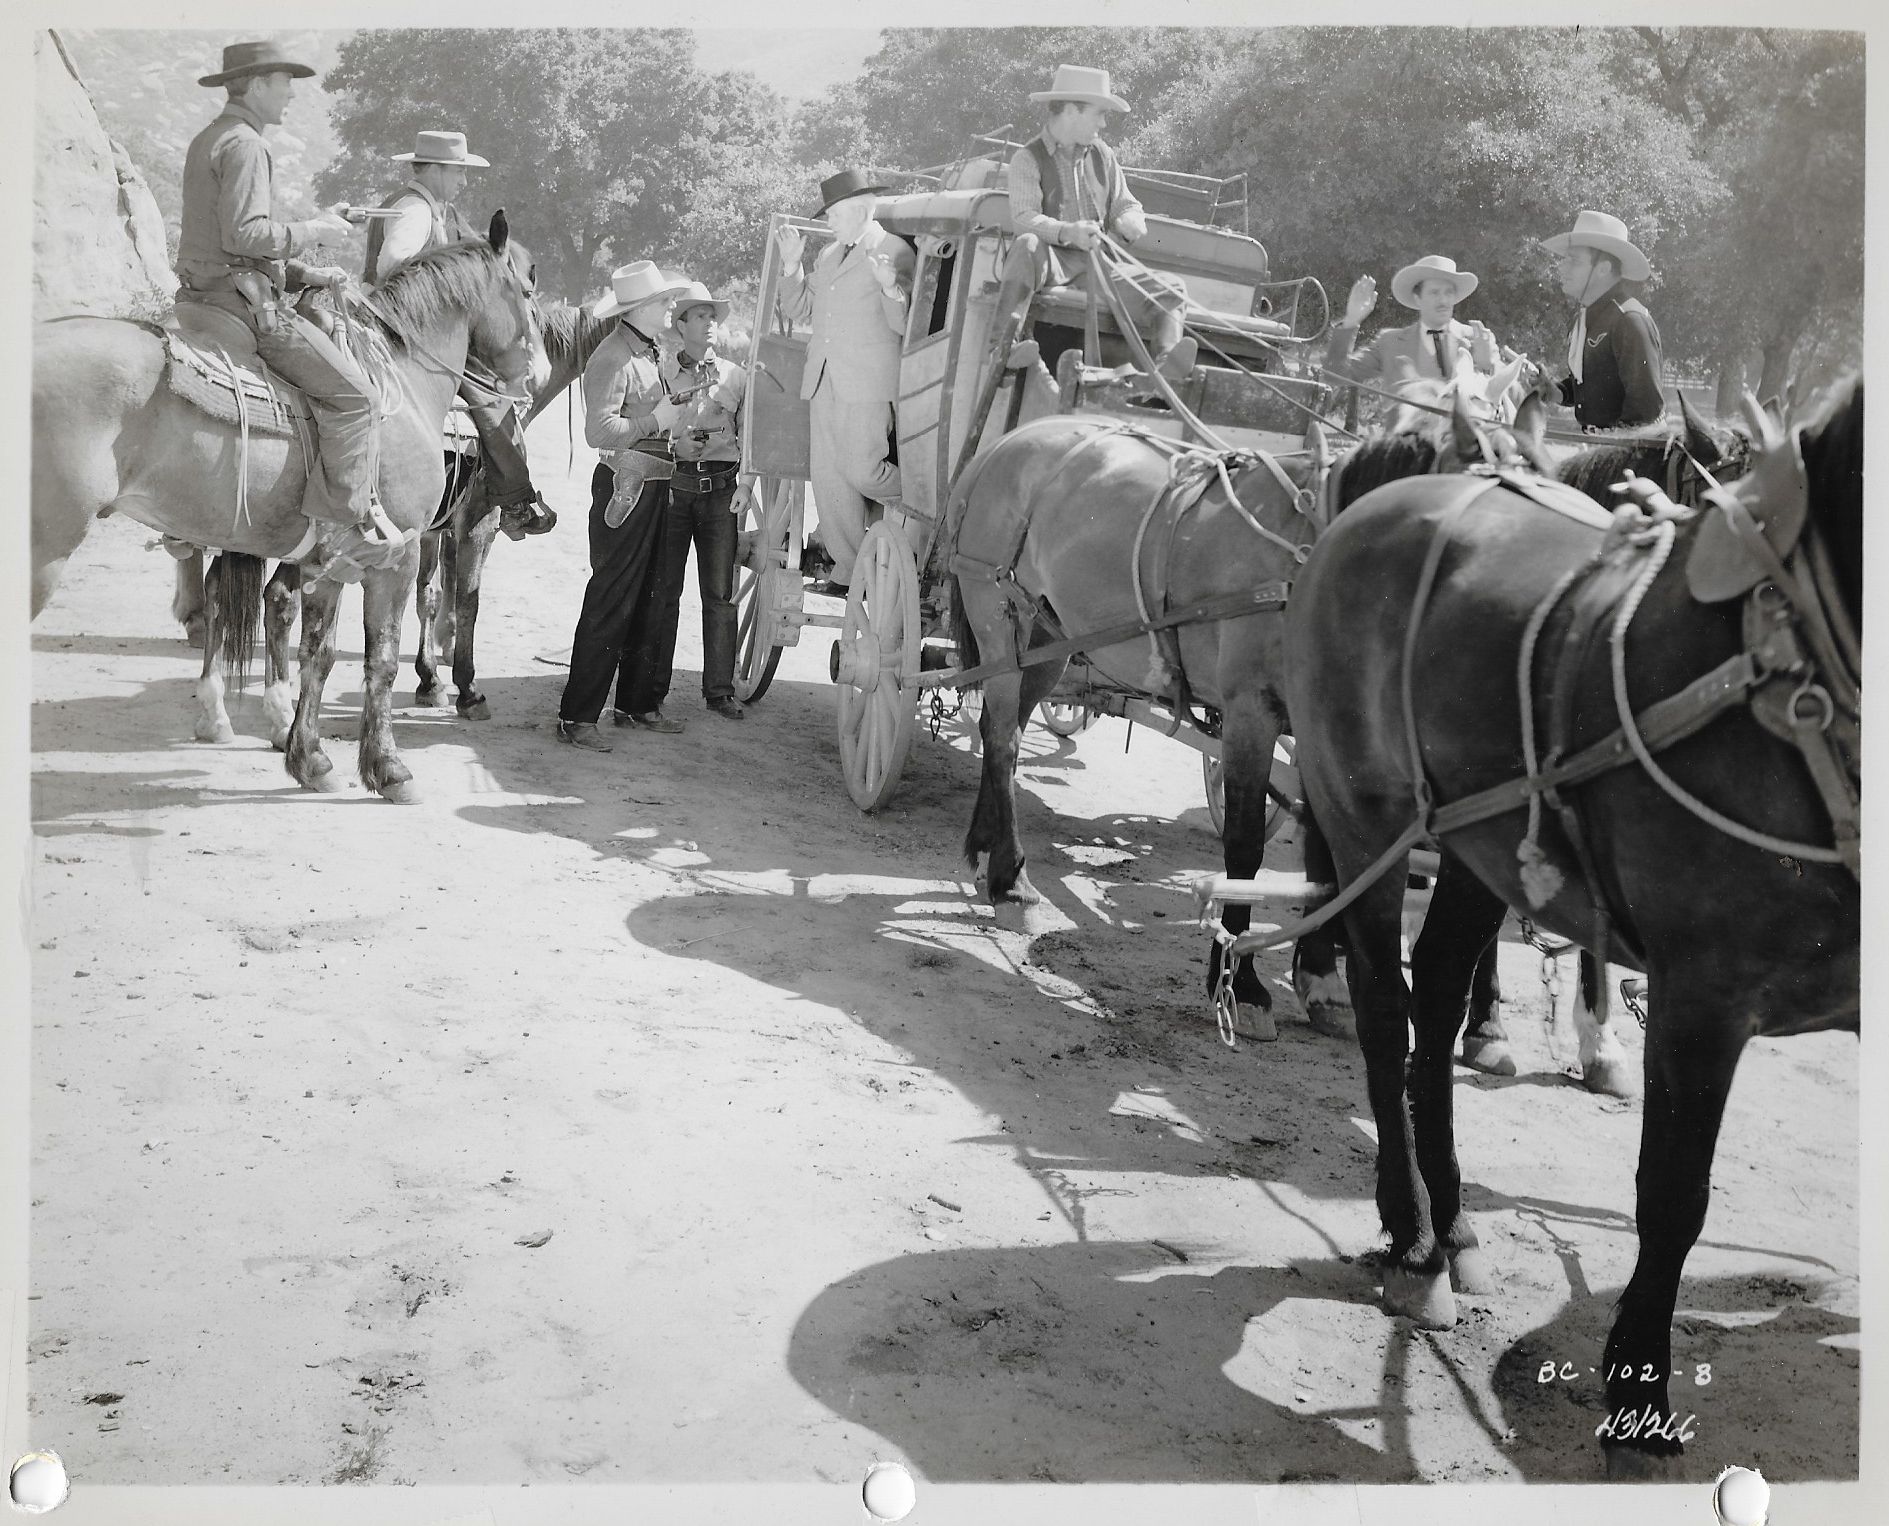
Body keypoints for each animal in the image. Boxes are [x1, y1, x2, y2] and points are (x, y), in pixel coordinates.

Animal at [31, 223, 547, 812]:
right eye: (527, 291)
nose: (535, 375)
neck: (405, 387)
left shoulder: (331, 562)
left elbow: (316, 654)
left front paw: (310, 758)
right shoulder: (400, 554)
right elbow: (386, 655)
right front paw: (391, 764)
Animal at [1269, 375, 1858, 1473]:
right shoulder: (1700, 994)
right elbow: (1671, 1194)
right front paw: (1635, 1390)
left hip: (1476, 840)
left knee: (1436, 989)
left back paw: (1452, 1218)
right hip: (1363, 816)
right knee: (1382, 1007)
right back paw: (1410, 1231)